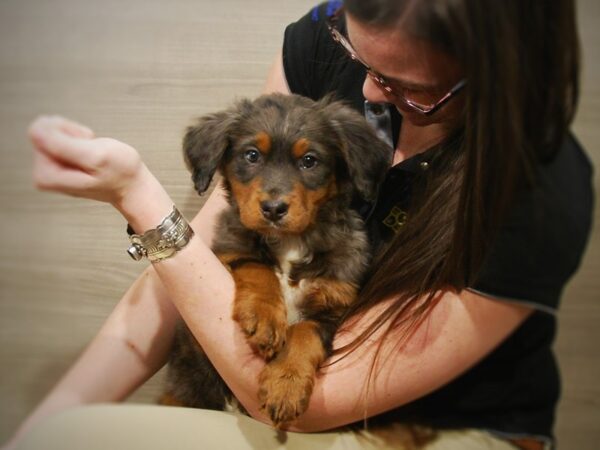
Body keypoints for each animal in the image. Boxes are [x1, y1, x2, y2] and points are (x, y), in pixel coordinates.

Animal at [162, 93, 392, 428]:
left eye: (309, 160)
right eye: (251, 155)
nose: (273, 209)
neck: (292, 242)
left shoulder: (332, 307)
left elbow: (304, 333)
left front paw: (286, 384)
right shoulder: (225, 254)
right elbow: (257, 266)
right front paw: (265, 318)